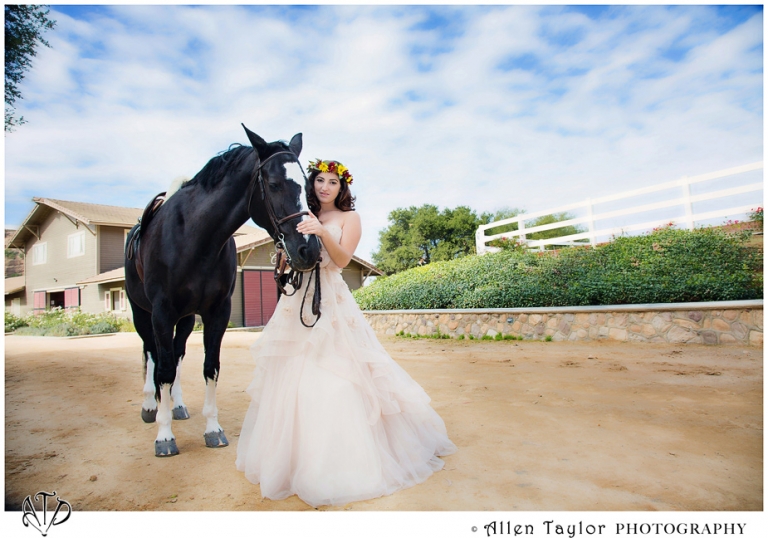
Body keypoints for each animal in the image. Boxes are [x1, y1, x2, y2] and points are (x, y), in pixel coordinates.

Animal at [125, 124, 318, 452]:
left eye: (306, 187)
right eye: (274, 184)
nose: (309, 249)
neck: (193, 237)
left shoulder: (217, 312)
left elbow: (209, 367)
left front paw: (212, 429)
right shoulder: (161, 313)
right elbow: (163, 368)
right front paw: (164, 436)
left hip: (186, 319)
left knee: (176, 355)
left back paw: (177, 405)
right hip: (142, 313)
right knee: (152, 355)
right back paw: (151, 406)